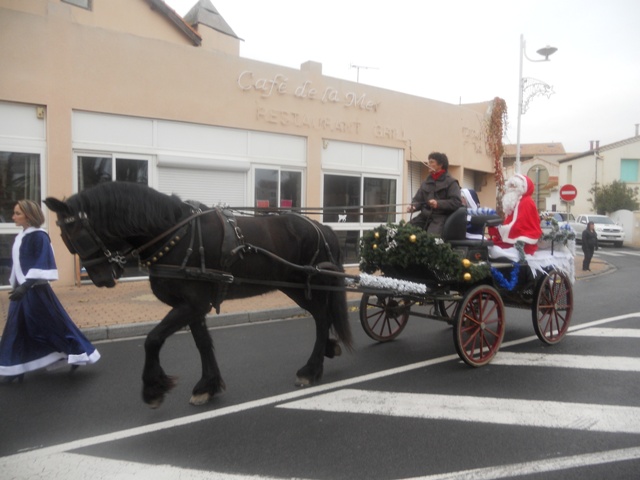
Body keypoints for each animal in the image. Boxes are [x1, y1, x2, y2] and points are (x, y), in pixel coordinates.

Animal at [45, 182, 352, 406]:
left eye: (74, 236)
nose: (101, 279)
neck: (174, 233)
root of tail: (323, 228)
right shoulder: (193, 306)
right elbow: (203, 343)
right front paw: (208, 385)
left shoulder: (191, 304)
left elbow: (153, 339)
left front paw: (153, 388)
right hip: (294, 287)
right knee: (320, 316)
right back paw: (326, 351)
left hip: (303, 285)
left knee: (322, 317)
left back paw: (311, 369)